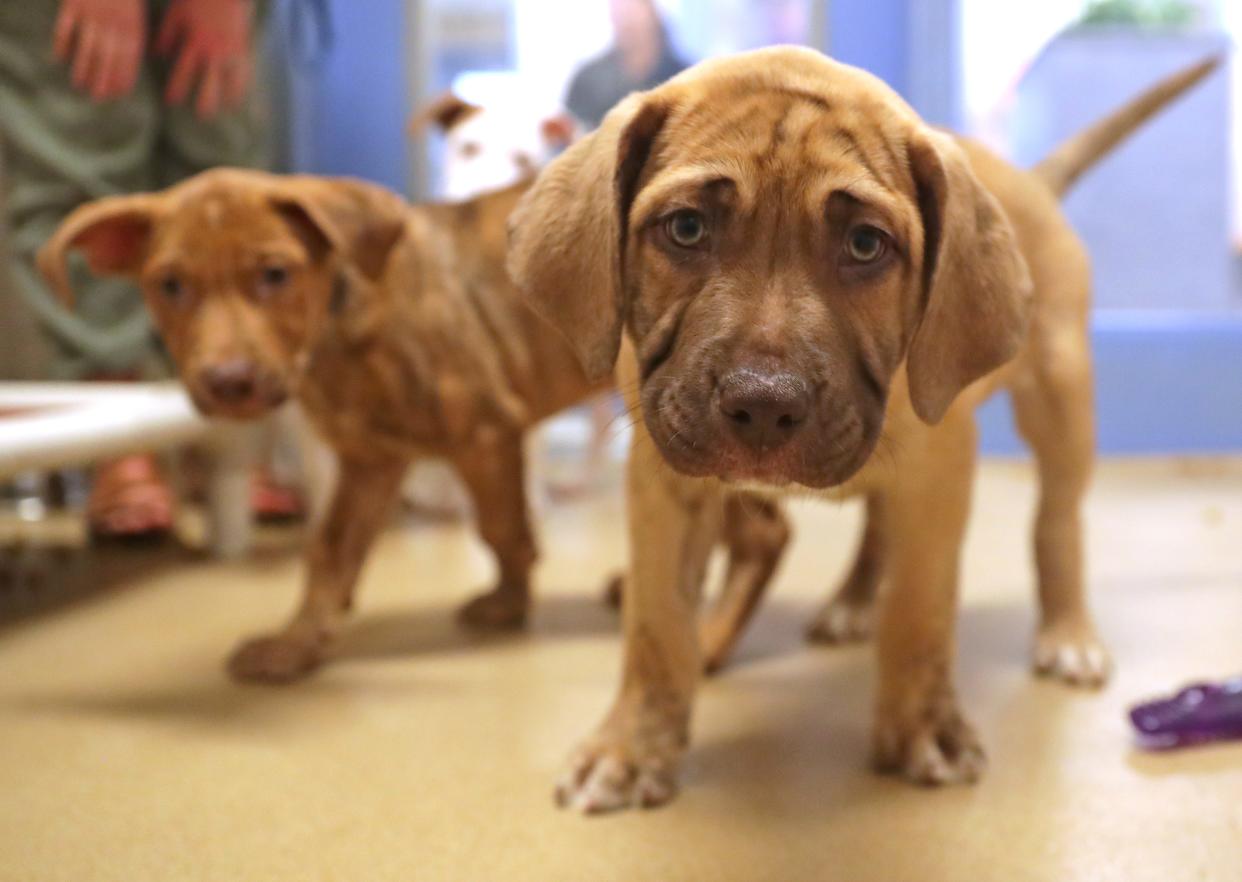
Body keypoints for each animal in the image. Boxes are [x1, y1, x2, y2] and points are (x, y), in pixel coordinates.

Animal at [509, 45, 1217, 809]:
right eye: (687, 228)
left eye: (866, 244)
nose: (763, 404)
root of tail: (1027, 181)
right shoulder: (666, 481)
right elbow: (656, 624)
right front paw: (632, 747)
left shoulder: (939, 470)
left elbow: (919, 606)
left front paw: (921, 727)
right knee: (877, 525)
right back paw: (850, 603)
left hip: (1060, 398)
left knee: (1056, 522)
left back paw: (1068, 631)